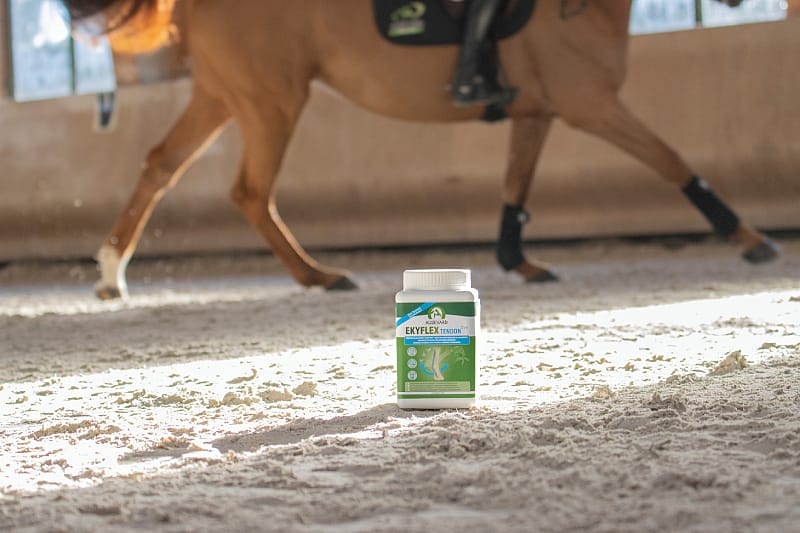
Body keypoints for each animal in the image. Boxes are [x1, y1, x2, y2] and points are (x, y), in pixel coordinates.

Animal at [64, 0, 780, 300]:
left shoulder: (538, 112)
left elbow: (516, 189)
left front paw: (519, 263)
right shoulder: (590, 105)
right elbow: (673, 162)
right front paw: (751, 240)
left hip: (223, 94)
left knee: (161, 165)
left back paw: (111, 273)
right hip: (270, 101)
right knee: (250, 191)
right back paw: (321, 276)